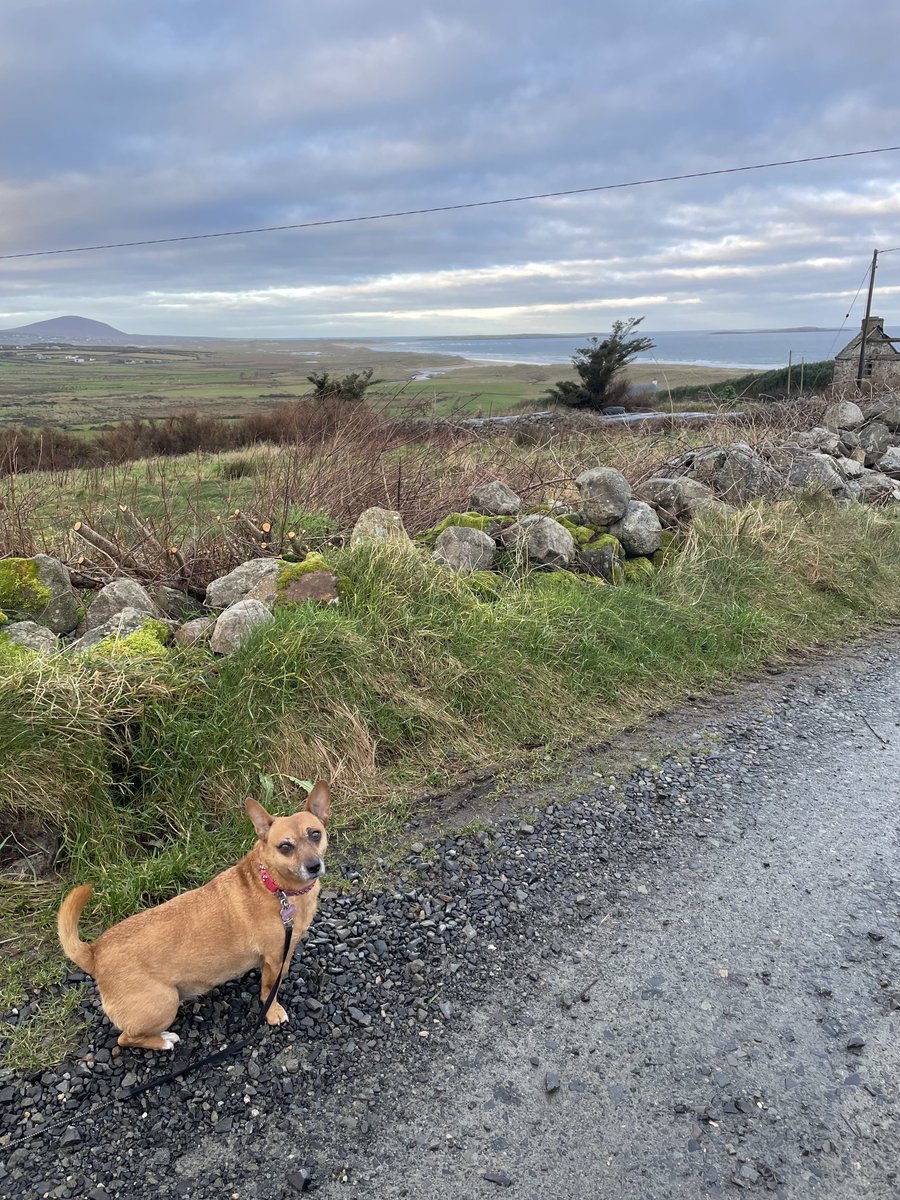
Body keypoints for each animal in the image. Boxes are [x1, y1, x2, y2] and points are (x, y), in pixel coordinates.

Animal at [56, 782, 331, 1046]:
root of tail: (95, 952)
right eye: (285, 846)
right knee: (126, 1039)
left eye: (315, 834)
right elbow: (269, 989)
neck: (275, 886)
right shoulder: (276, 959)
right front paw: (272, 1011)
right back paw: (165, 1041)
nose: (314, 866)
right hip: (165, 1003)